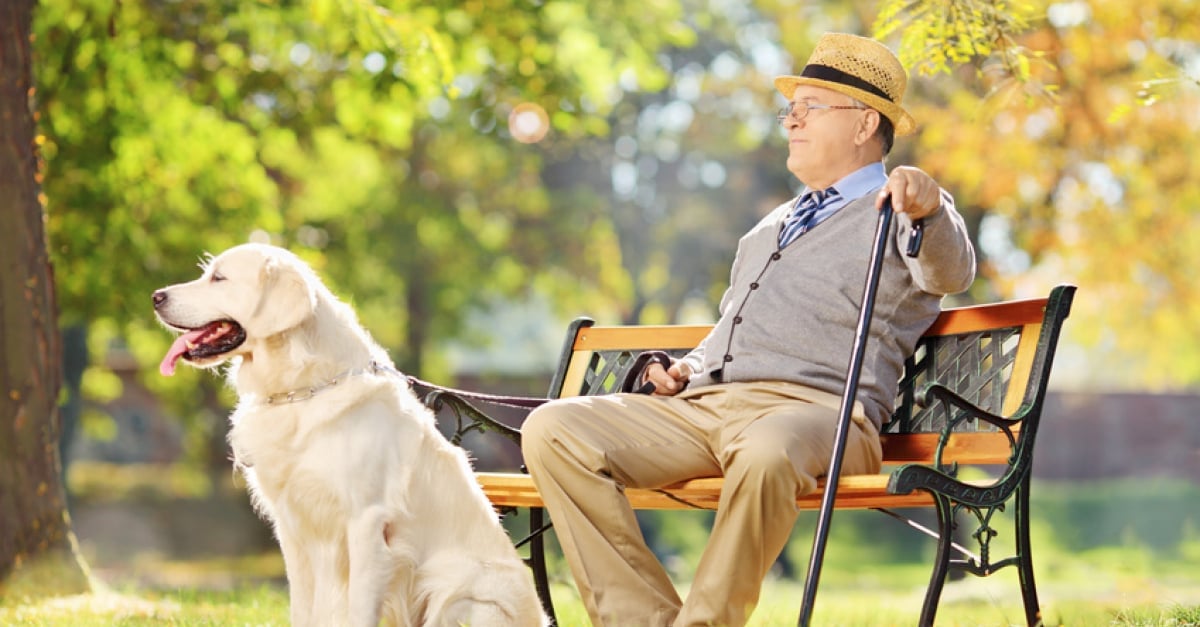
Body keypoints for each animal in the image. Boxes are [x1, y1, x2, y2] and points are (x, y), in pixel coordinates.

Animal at [153, 242, 544, 624]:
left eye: (219, 278)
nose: (156, 296)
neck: (302, 390)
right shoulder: (292, 526)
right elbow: (302, 609)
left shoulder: (366, 522)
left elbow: (358, 609)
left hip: (455, 589)